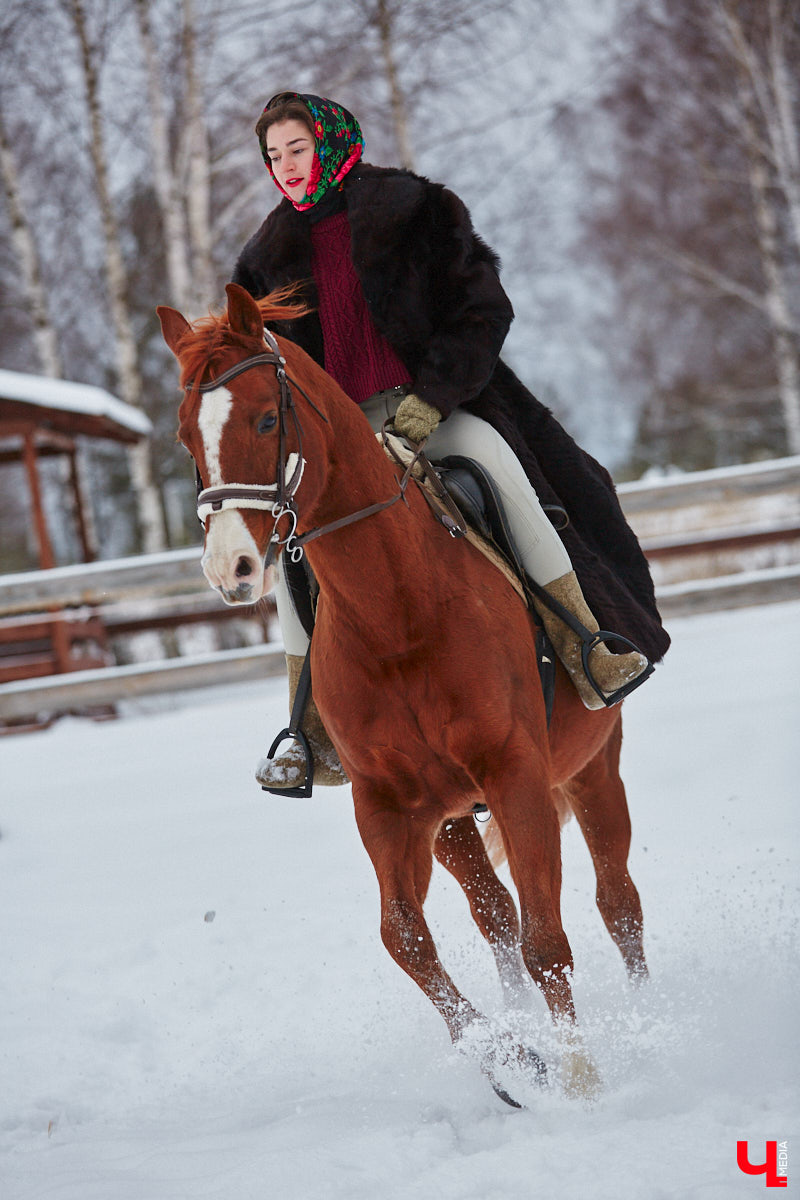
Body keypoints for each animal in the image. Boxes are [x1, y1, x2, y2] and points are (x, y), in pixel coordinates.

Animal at [158, 283, 652, 1104]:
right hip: (450, 820)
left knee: (618, 904)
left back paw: (650, 1014)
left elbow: (548, 939)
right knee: (494, 915)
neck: (398, 612)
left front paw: (580, 1078)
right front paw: (509, 1056)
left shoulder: (516, 777)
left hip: (592, 770)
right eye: (185, 437)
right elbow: (407, 940)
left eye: (266, 419)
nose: (229, 567)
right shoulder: (388, 806)